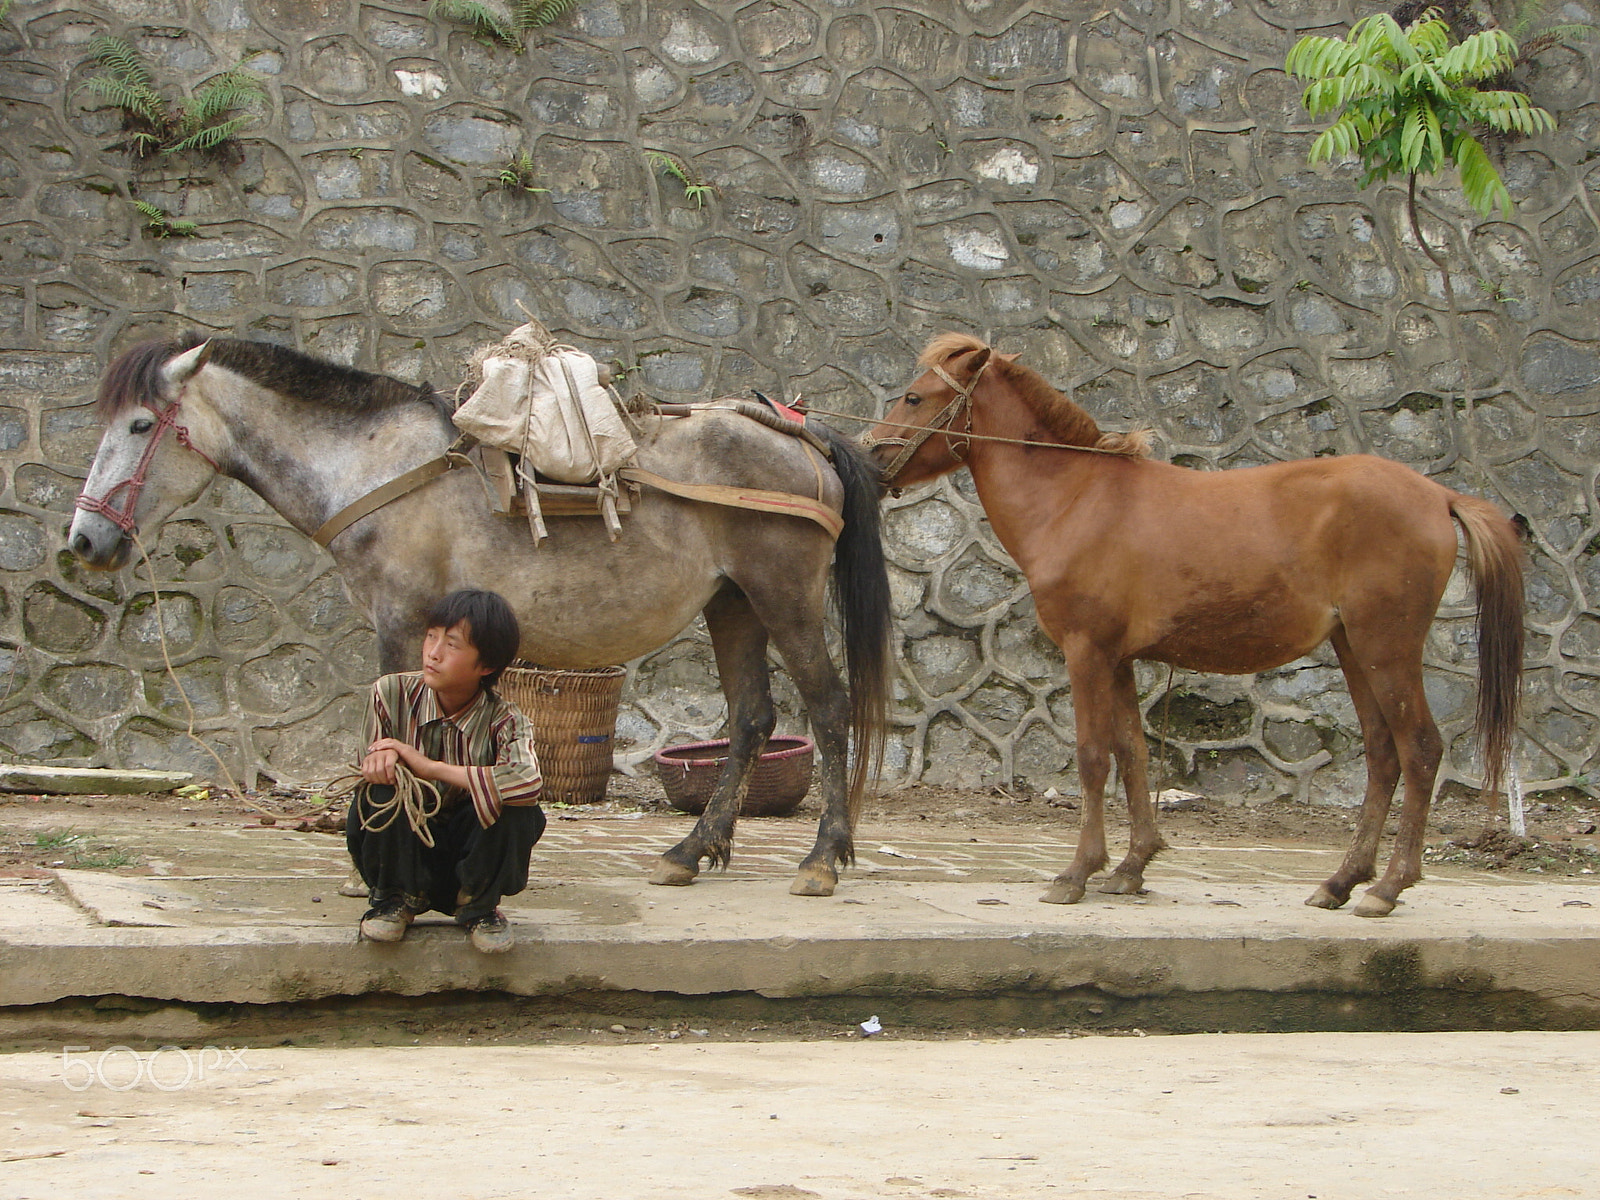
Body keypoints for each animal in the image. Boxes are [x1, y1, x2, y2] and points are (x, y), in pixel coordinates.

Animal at [68, 334, 896, 896]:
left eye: (140, 425)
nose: (84, 540)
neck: (372, 465)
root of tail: (800, 435)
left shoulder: (400, 622)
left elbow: (392, 738)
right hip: (734, 604)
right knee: (752, 718)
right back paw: (690, 852)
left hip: (783, 595)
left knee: (828, 709)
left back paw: (822, 860)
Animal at [870, 334, 1516, 915]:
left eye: (913, 397)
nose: (869, 456)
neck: (1076, 499)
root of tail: (1437, 495)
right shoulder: (1118, 659)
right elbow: (1132, 754)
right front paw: (1131, 867)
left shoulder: (1086, 652)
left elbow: (1092, 756)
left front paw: (1077, 872)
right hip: (1355, 649)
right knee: (1384, 757)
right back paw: (1341, 882)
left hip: (1387, 648)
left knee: (1421, 750)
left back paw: (1388, 886)